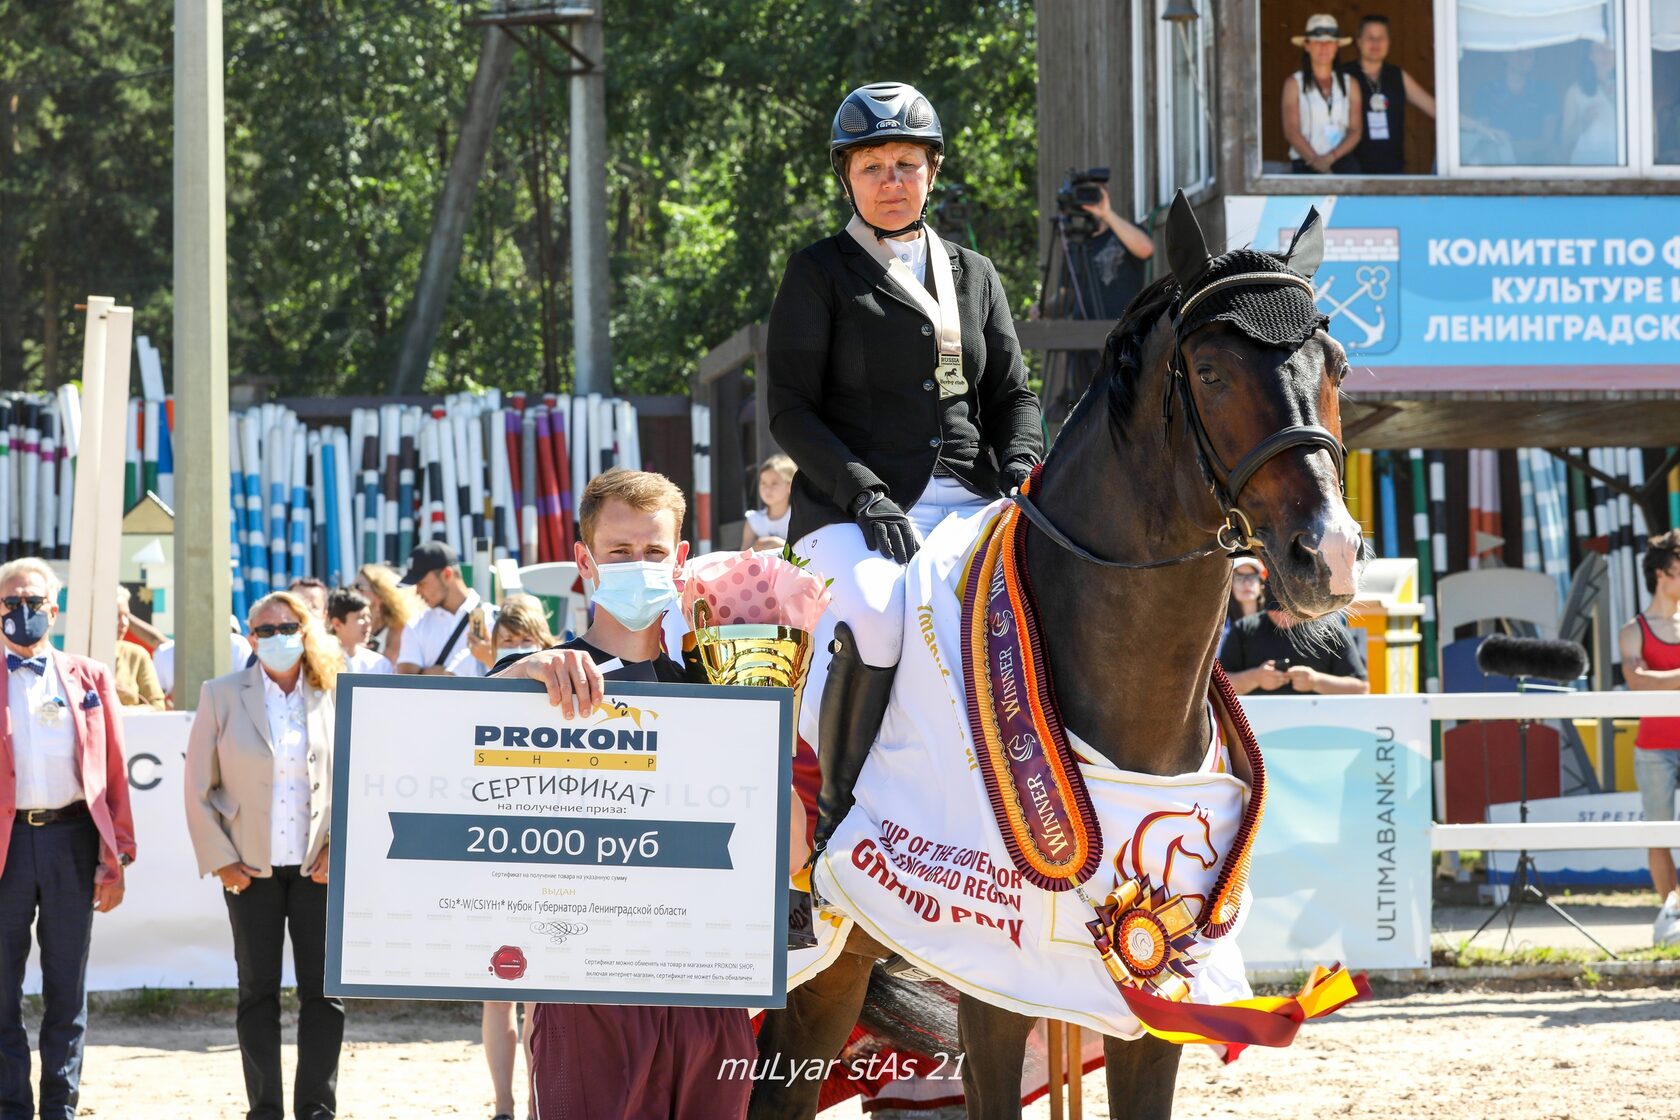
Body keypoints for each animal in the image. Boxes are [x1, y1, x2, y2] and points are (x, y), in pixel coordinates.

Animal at [756, 194, 1370, 1120]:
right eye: (1212, 373)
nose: (1325, 555)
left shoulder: (1150, 1001)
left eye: (1333, 363)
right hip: (815, 967)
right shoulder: (992, 988)